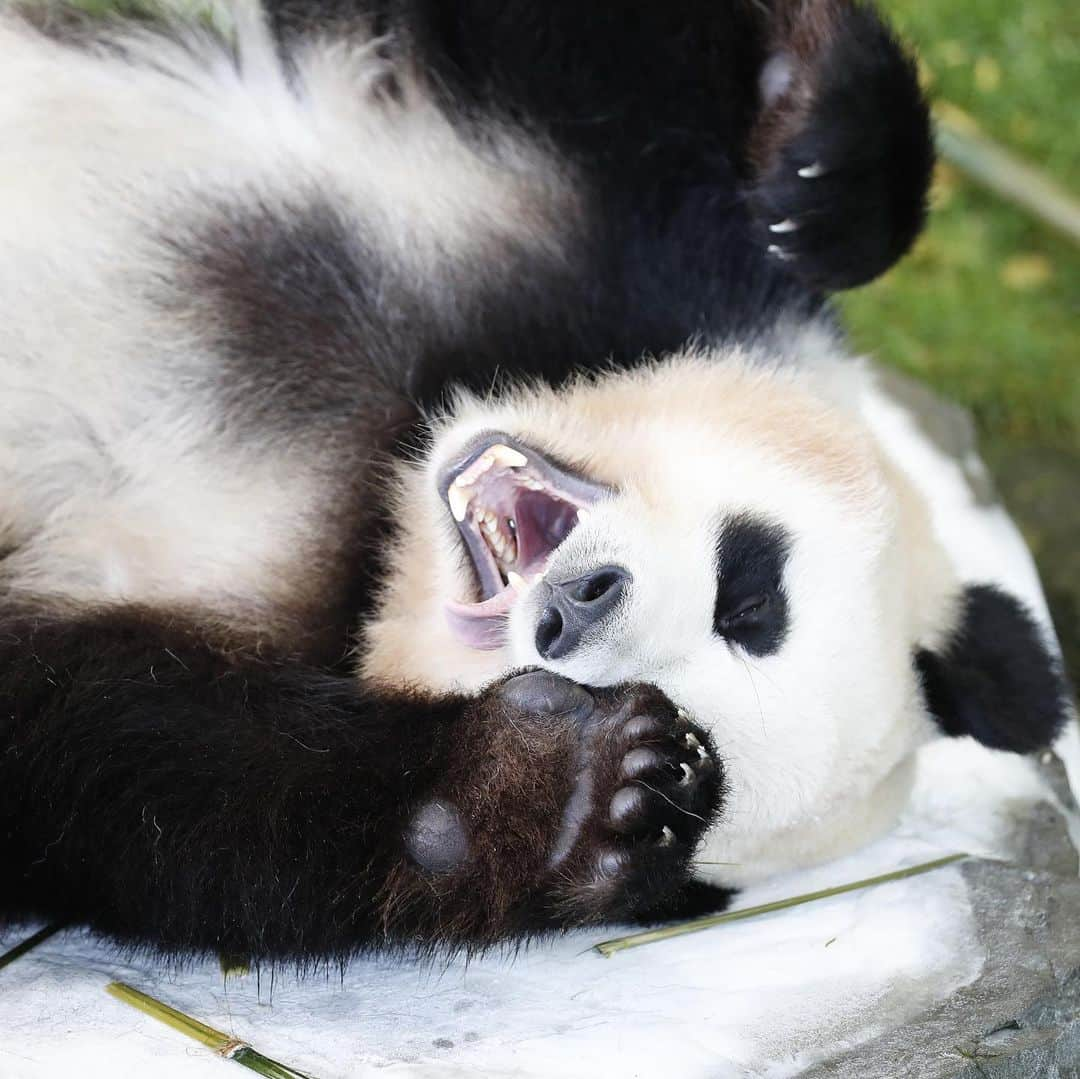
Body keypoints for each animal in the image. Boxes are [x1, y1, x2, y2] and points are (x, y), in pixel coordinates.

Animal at [0, 0, 1071, 963]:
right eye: (750, 594)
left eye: (699, 720)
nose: (576, 605)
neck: (379, 498)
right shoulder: (627, 236)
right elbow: (596, 51)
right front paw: (812, 162)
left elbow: (131, 776)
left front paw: (565, 799)